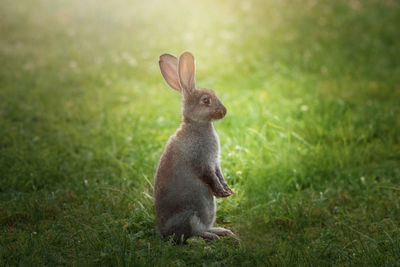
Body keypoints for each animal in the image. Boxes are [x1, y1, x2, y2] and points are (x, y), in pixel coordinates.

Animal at [154, 51, 236, 244]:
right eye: (205, 100)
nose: (224, 111)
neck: (197, 125)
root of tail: (164, 232)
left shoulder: (215, 163)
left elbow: (219, 175)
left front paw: (227, 190)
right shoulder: (201, 162)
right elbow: (210, 177)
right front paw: (222, 192)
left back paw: (223, 231)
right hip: (190, 215)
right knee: (191, 234)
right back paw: (213, 236)